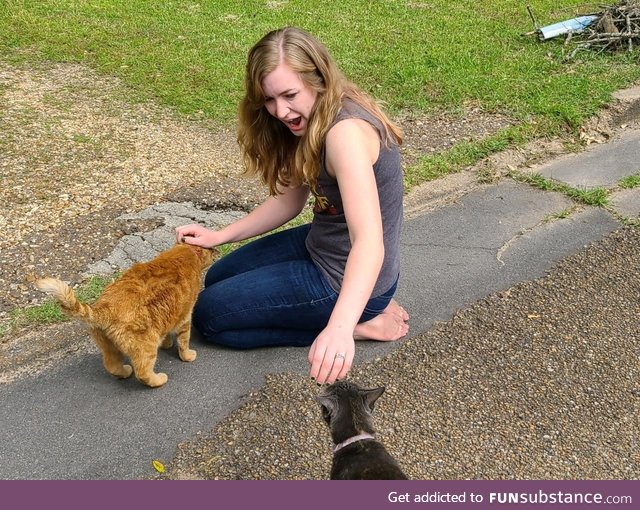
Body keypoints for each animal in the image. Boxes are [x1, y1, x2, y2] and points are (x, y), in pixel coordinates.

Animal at [36, 243, 216, 386]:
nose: (215, 251)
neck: (186, 251)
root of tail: (104, 308)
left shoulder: (169, 316)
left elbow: (166, 334)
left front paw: (166, 343)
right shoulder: (185, 317)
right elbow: (184, 342)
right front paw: (186, 355)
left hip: (109, 346)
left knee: (111, 365)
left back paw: (124, 372)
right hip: (146, 346)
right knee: (142, 372)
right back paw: (158, 380)